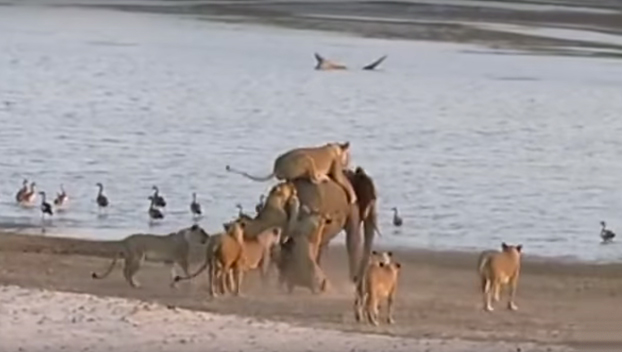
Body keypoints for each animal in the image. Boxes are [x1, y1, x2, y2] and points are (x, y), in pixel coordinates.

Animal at [227, 142, 358, 205]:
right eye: (349, 157)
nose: (348, 165)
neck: (336, 148)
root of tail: (276, 167)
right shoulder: (337, 169)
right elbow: (345, 183)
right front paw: (353, 198)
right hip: (306, 159)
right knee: (312, 179)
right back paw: (322, 177)